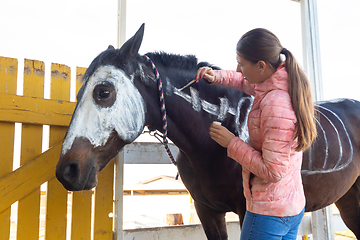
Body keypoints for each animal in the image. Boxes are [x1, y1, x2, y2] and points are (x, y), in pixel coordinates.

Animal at [56, 23, 360, 238]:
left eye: (103, 92)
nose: (66, 171)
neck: (208, 147)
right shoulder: (207, 211)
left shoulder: (245, 212)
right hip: (348, 199)